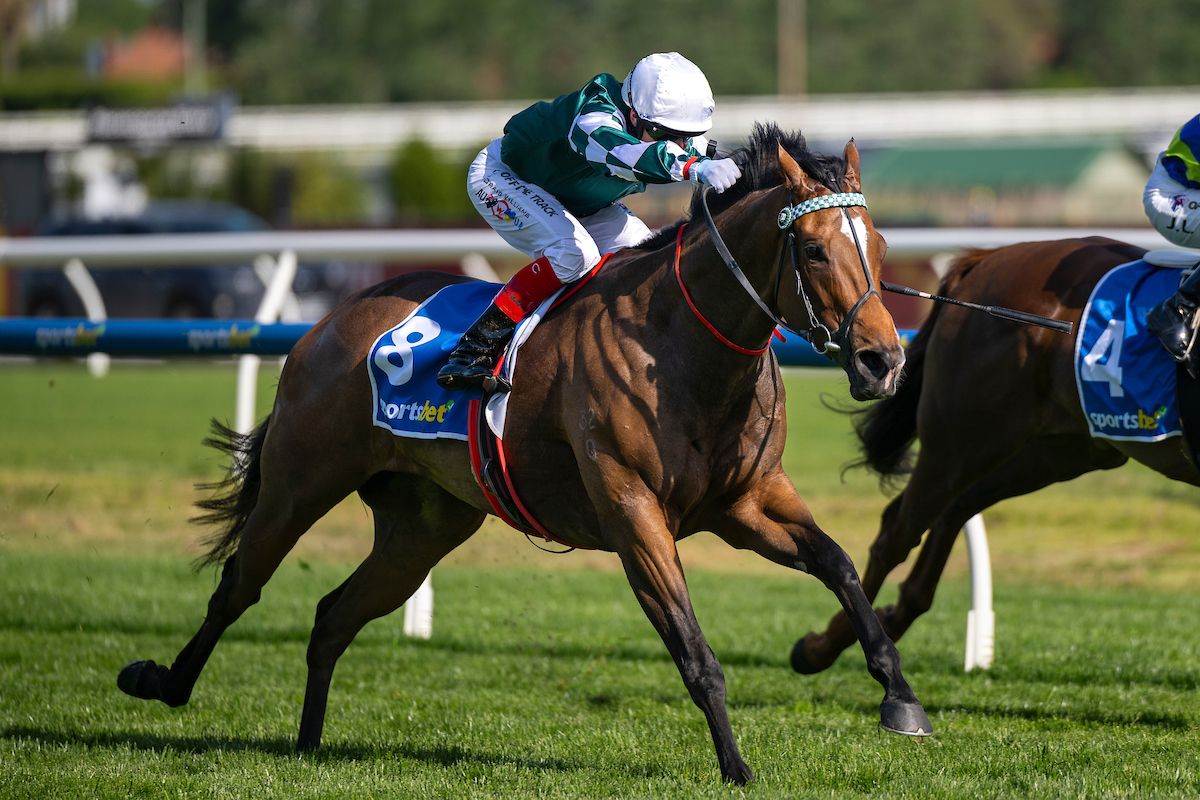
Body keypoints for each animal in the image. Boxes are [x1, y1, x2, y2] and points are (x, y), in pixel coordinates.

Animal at [116, 123, 932, 785]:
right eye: (817, 250)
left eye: (882, 247)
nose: (883, 361)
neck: (679, 344)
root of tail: (327, 323)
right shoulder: (634, 512)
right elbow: (694, 652)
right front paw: (736, 767)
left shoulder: (746, 501)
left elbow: (839, 565)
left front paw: (901, 699)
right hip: (300, 480)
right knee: (237, 588)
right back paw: (163, 683)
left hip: (423, 526)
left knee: (332, 616)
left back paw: (309, 743)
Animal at [792, 237, 1200, 676]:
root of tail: (989, 257)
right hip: (961, 441)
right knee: (896, 532)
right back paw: (822, 648)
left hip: (1059, 450)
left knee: (956, 507)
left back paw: (894, 615)